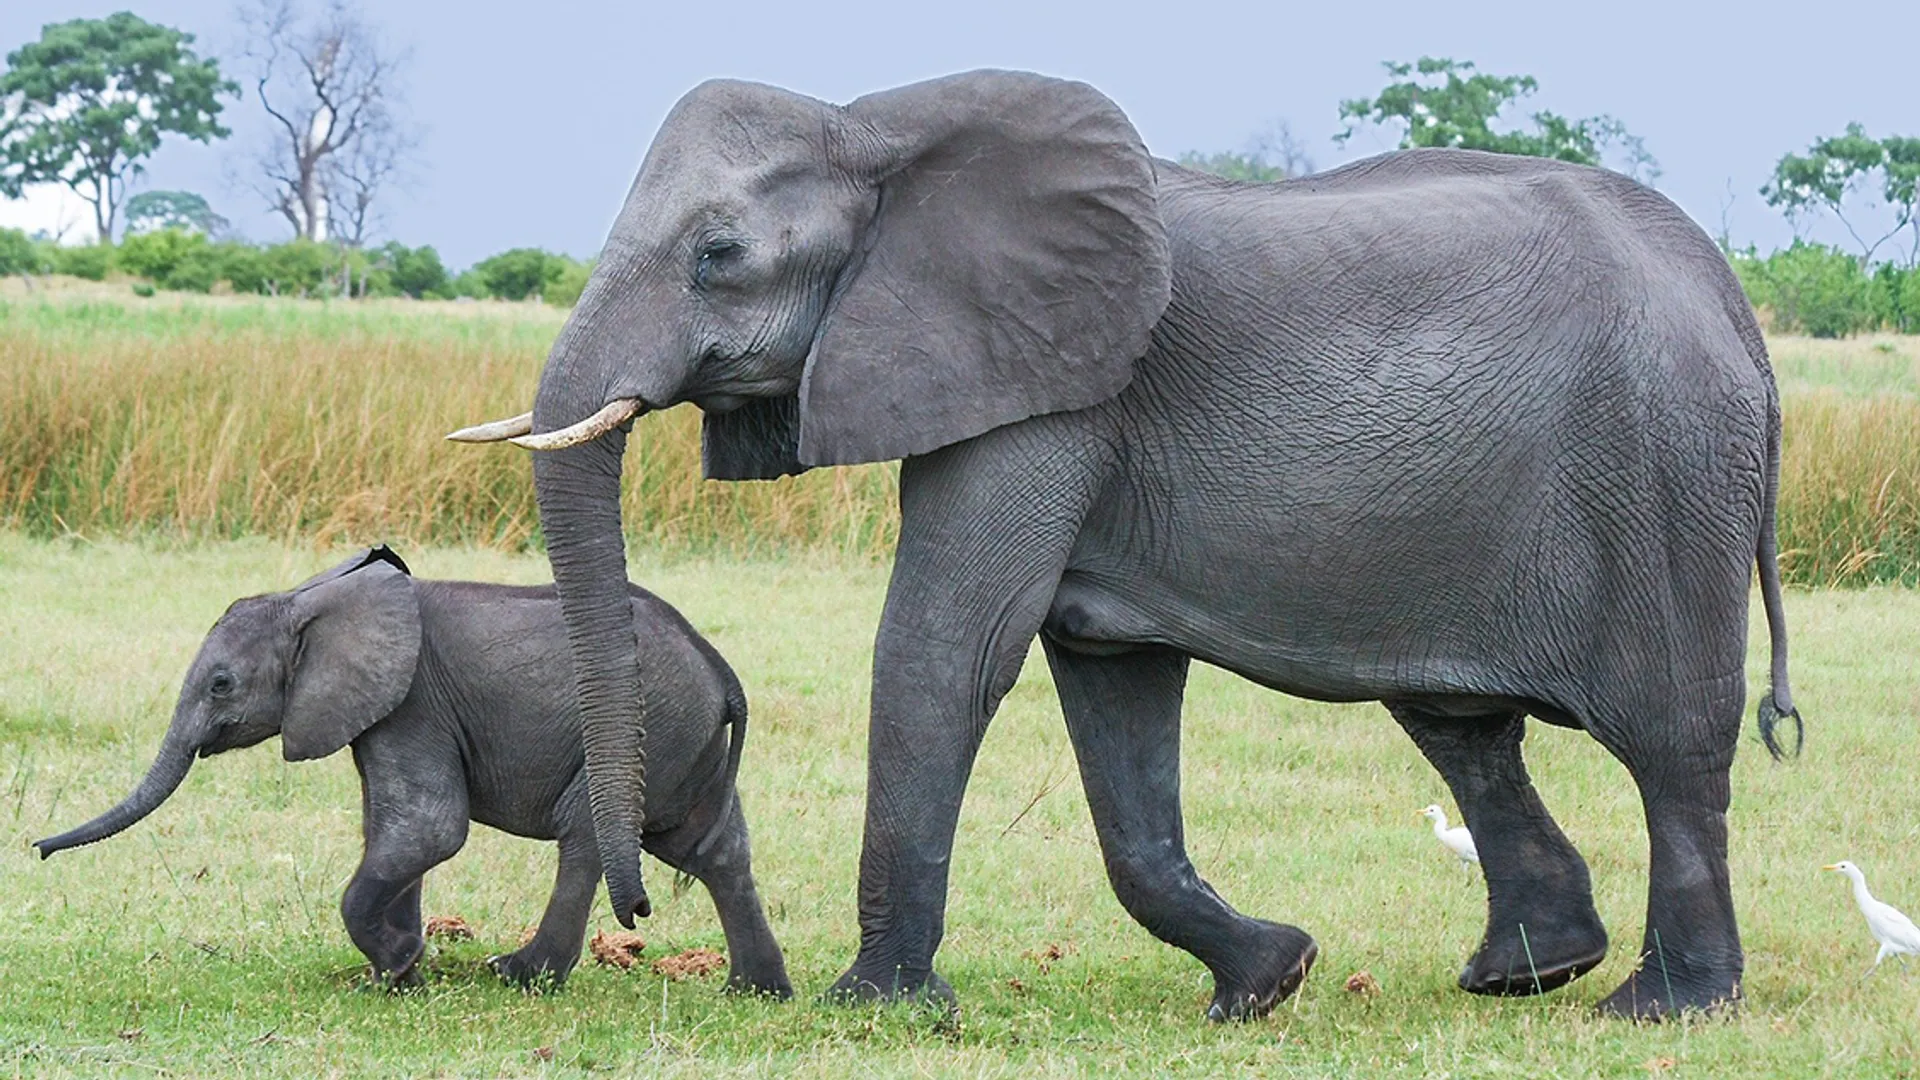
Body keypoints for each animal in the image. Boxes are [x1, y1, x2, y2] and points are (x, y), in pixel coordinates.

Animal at [35, 546, 792, 997]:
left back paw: (518, 975)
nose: (37, 849)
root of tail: (720, 671)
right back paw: (755, 991)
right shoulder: (381, 713)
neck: (312, 600)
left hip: (648, 728)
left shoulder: (414, 702)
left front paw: (397, 965)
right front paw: (397, 972)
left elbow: (429, 829)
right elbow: (391, 831)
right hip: (683, 743)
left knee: (587, 835)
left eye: (221, 685)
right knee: (714, 849)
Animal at [449, 69, 1798, 1022]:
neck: (876, 126)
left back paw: (1660, 1011)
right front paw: (1268, 981)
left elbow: (950, 647)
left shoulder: (1055, 391)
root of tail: (1737, 307)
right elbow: (1109, 688)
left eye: (718, 257)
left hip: (1668, 476)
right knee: (1462, 727)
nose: (637, 910)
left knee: (1673, 745)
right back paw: (1523, 977)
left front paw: (878, 1009)